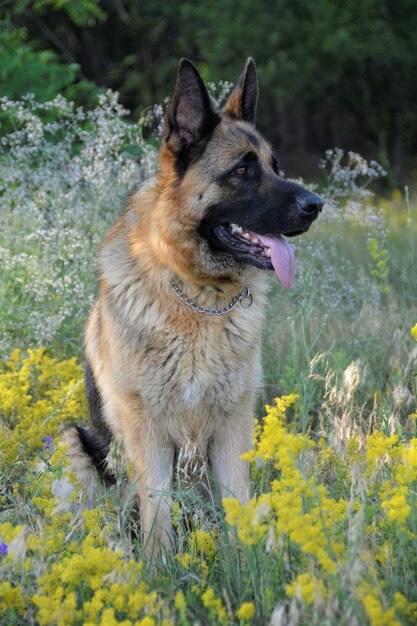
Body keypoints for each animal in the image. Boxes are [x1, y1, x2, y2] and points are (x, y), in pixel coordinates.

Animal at [65, 57, 324, 544]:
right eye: (242, 171)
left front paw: (247, 559)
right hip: (74, 440)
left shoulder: (233, 429)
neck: (198, 296)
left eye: (274, 166)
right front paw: (161, 563)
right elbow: (158, 520)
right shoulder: (148, 435)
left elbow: (240, 510)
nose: (317, 204)